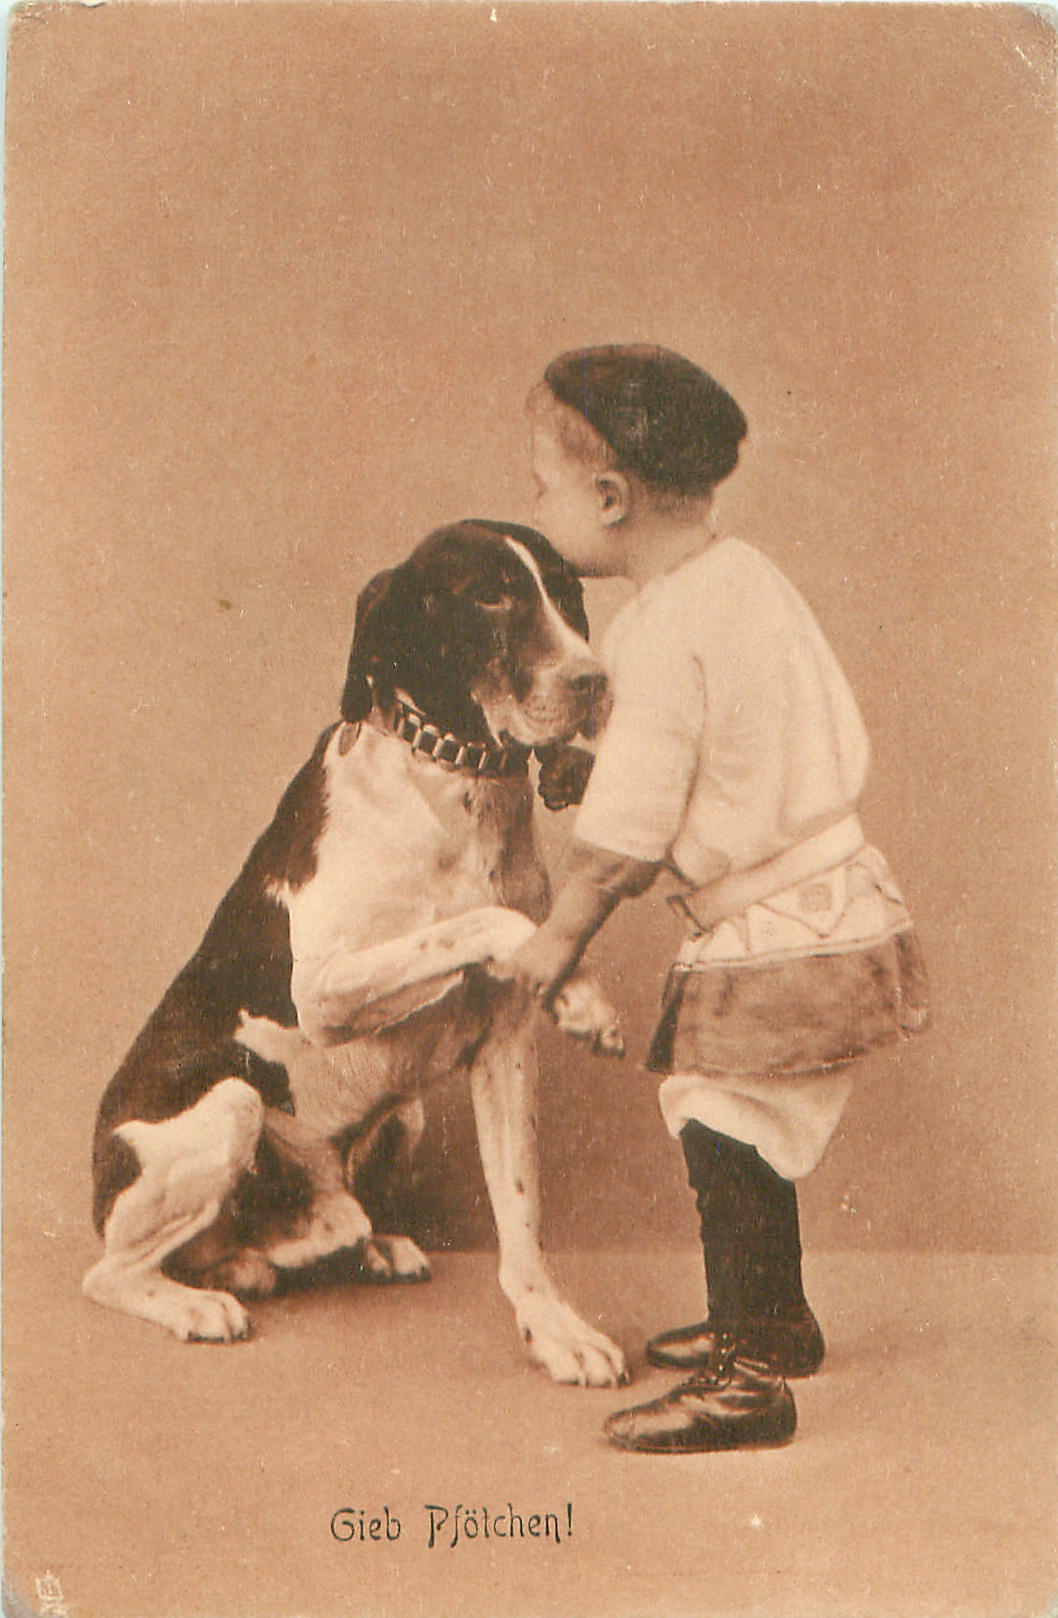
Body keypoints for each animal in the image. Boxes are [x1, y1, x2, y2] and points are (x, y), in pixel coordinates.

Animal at [84, 519, 628, 1387]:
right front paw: (581, 991)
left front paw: (554, 1328)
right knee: (114, 1269)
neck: (451, 781)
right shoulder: (327, 991)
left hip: (402, 1117)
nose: (593, 681)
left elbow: (521, 1217)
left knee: (293, 1228)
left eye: (569, 593)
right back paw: (215, 1290)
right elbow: (478, 922)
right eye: (490, 595)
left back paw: (334, 1244)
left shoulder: (504, 1051)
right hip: (225, 1104)